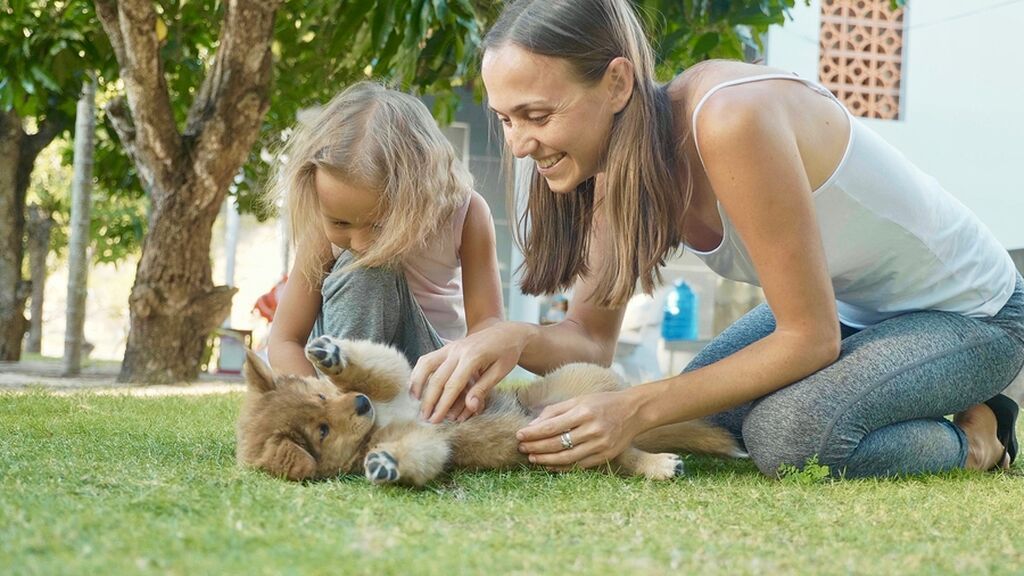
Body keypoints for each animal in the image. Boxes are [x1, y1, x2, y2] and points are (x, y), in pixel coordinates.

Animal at [235, 334, 741, 481]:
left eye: (322, 397)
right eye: (321, 430)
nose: (359, 405)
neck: (383, 416)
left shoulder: (401, 380)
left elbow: (372, 367)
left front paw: (332, 355)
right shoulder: (428, 440)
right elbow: (414, 454)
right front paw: (383, 462)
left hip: (579, 382)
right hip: (586, 454)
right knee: (626, 455)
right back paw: (661, 465)